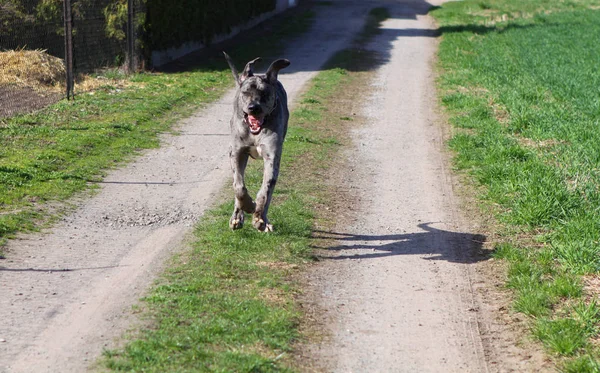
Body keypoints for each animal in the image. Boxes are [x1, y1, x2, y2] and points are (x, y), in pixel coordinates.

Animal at [224, 52, 292, 231]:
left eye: (264, 93)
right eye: (245, 92)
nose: (253, 107)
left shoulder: (272, 156)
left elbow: (265, 190)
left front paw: (259, 217)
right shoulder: (237, 153)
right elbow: (238, 187)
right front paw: (247, 206)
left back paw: (263, 219)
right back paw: (237, 216)